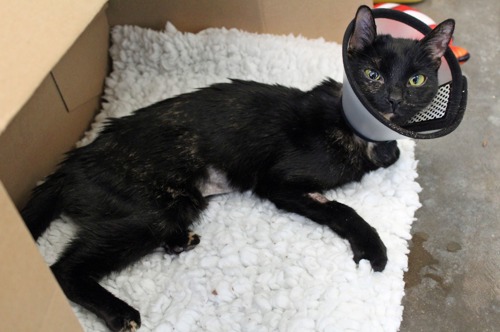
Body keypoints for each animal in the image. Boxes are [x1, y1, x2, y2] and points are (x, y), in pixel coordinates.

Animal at [22, 5, 454, 332]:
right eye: (372, 74)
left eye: (416, 80)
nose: (394, 99)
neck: (358, 133)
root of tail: (70, 165)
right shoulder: (277, 183)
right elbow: (341, 208)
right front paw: (373, 249)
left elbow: (388, 157)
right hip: (152, 212)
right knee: (63, 269)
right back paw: (120, 313)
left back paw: (180, 242)